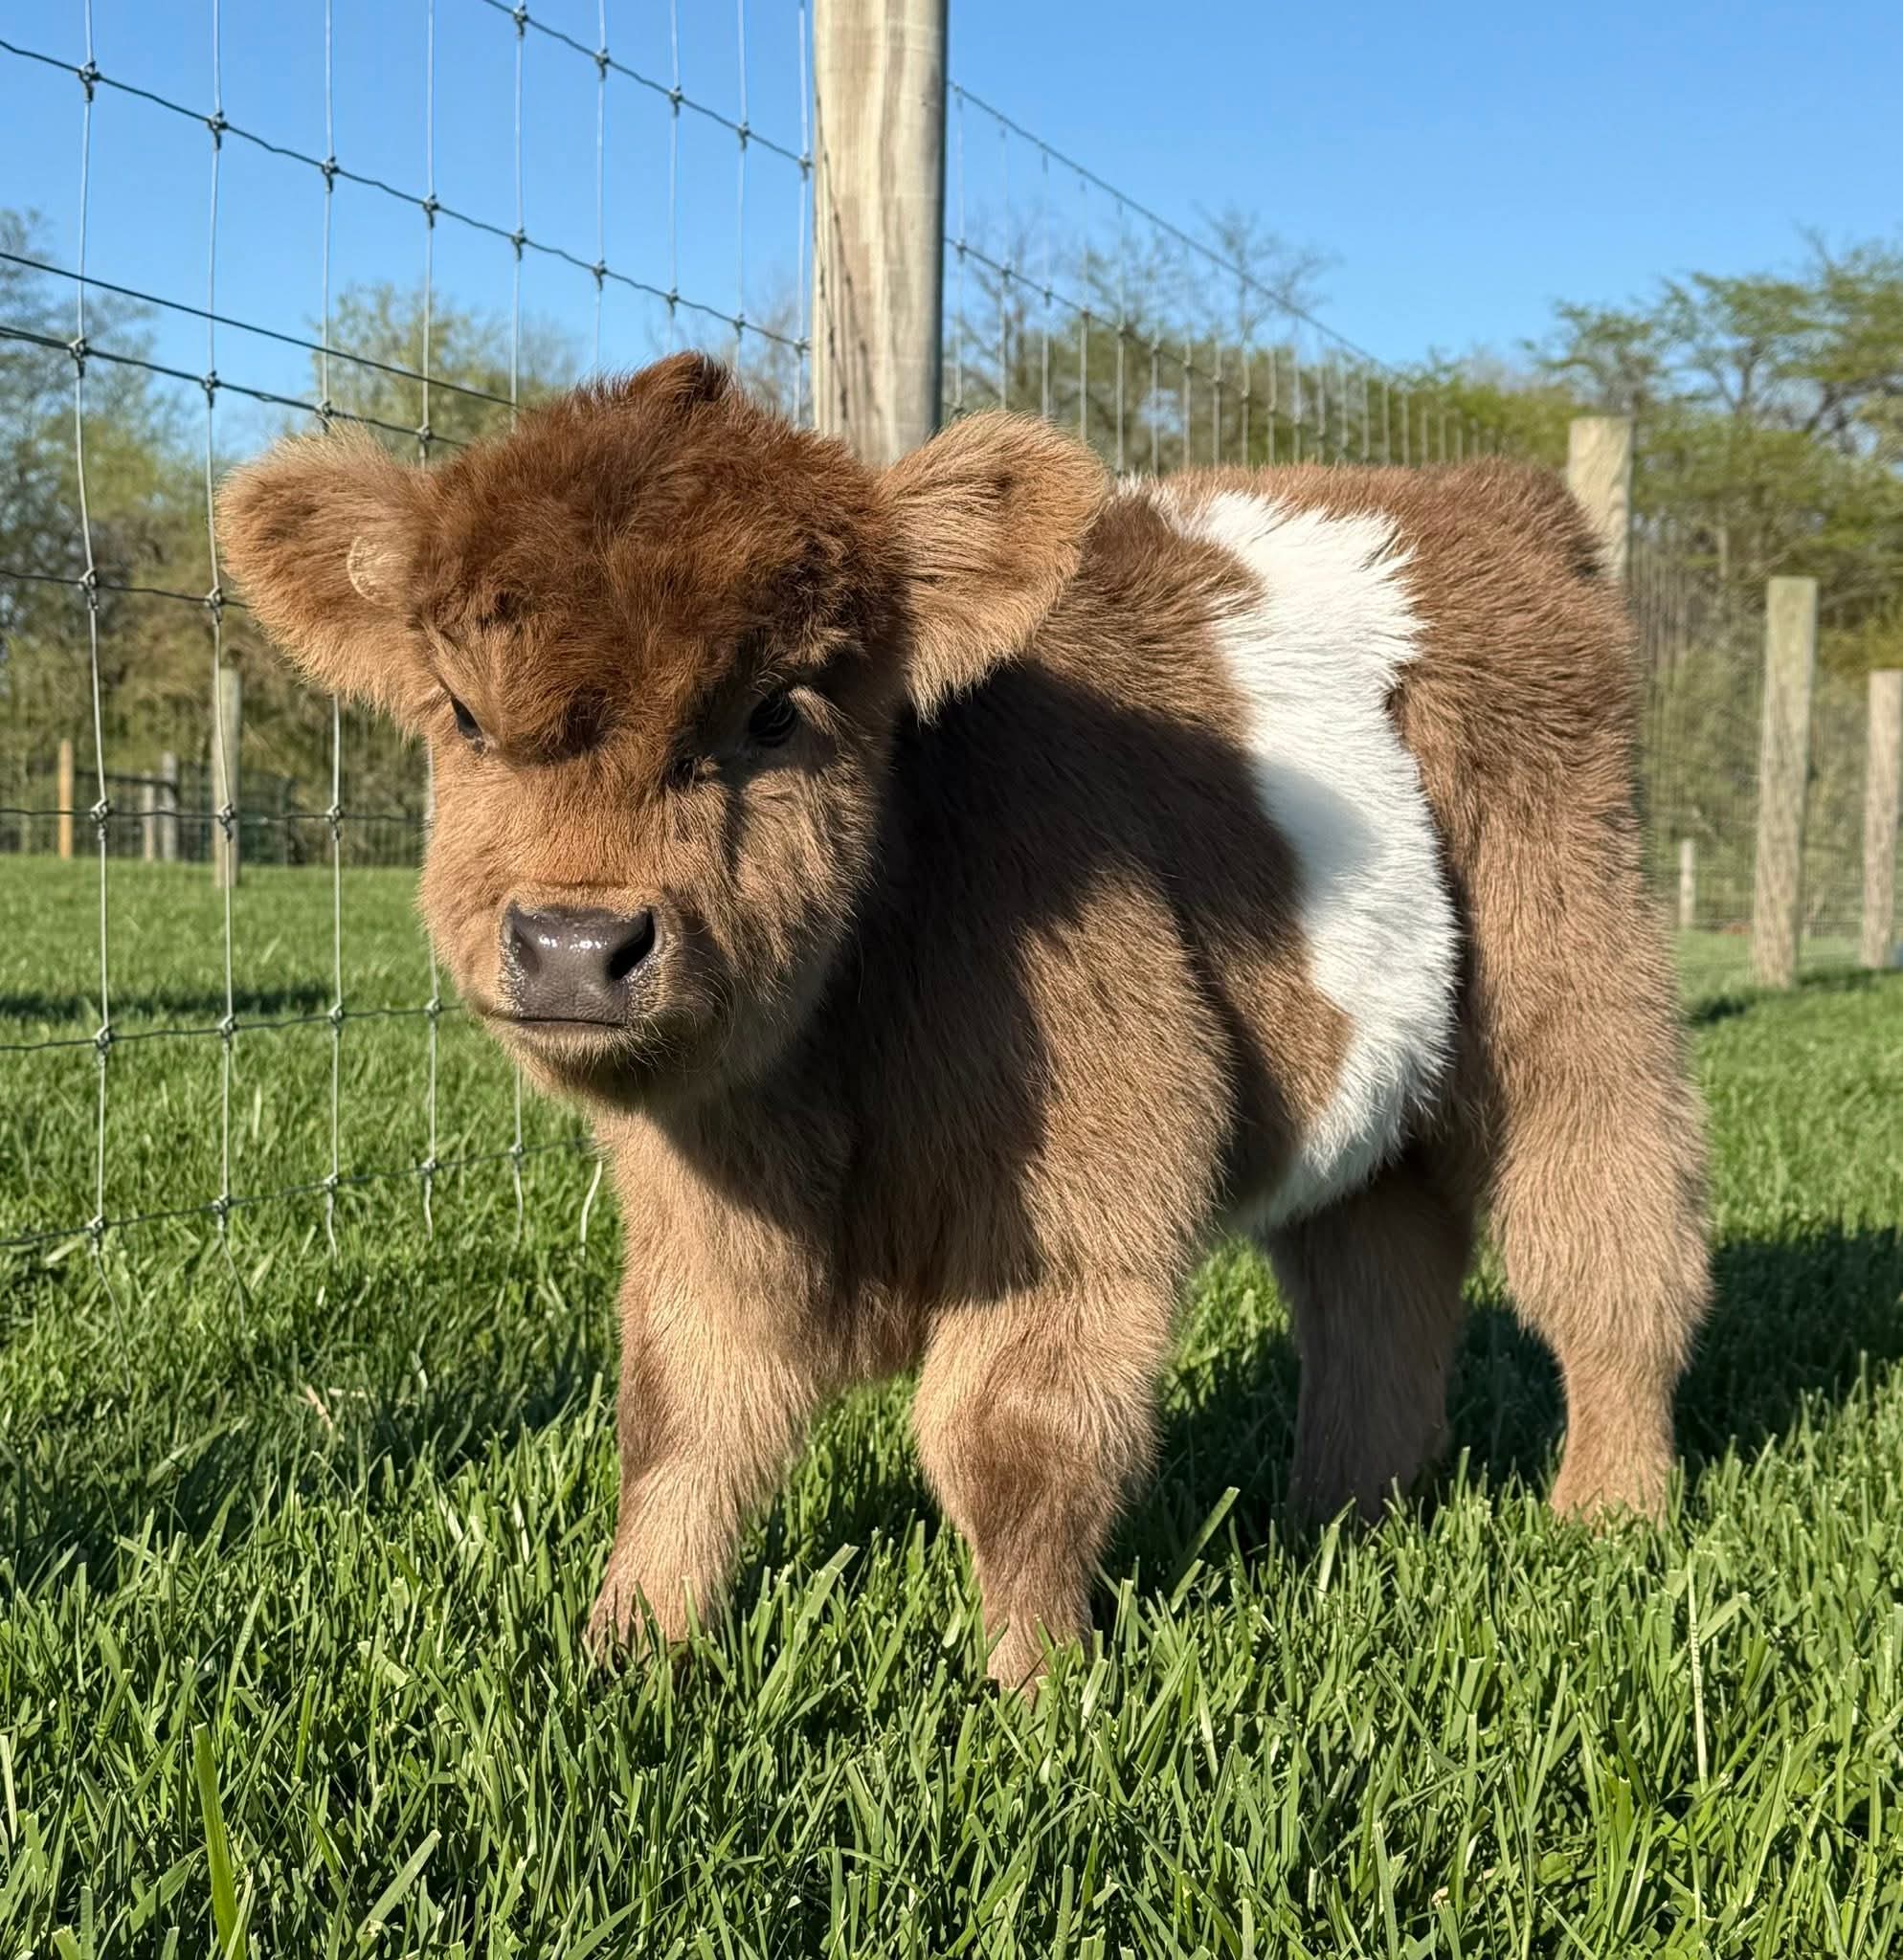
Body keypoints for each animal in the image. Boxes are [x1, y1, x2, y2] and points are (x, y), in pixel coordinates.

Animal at [217, 353, 1710, 1687]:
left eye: (778, 710)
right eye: (463, 715)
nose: (577, 947)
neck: (829, 1070)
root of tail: (1474, 498)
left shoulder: (1088, 1197)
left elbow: (1011, 1440)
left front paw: (1033, 1691)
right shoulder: (703, 1213)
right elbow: (683, 1419)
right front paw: (626, 1653)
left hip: (1578, 980)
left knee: (1605, 1237)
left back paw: (1610, 1518)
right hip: (1371, 1086)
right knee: (1376, 1277)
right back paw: (1339, 1515)